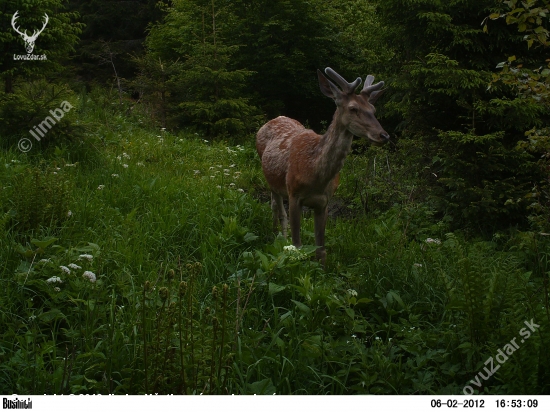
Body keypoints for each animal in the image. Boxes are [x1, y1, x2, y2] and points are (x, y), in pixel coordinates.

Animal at [256, 67, 390, 268]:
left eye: (373, 109)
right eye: (353, 108)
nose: (383, 135)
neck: (315, 174)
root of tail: (274, 119)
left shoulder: (324, 202)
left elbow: (321, 251)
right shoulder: (294, 194)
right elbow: (297, 246)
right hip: (272, 180)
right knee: (276, 209)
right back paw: (277, 237)